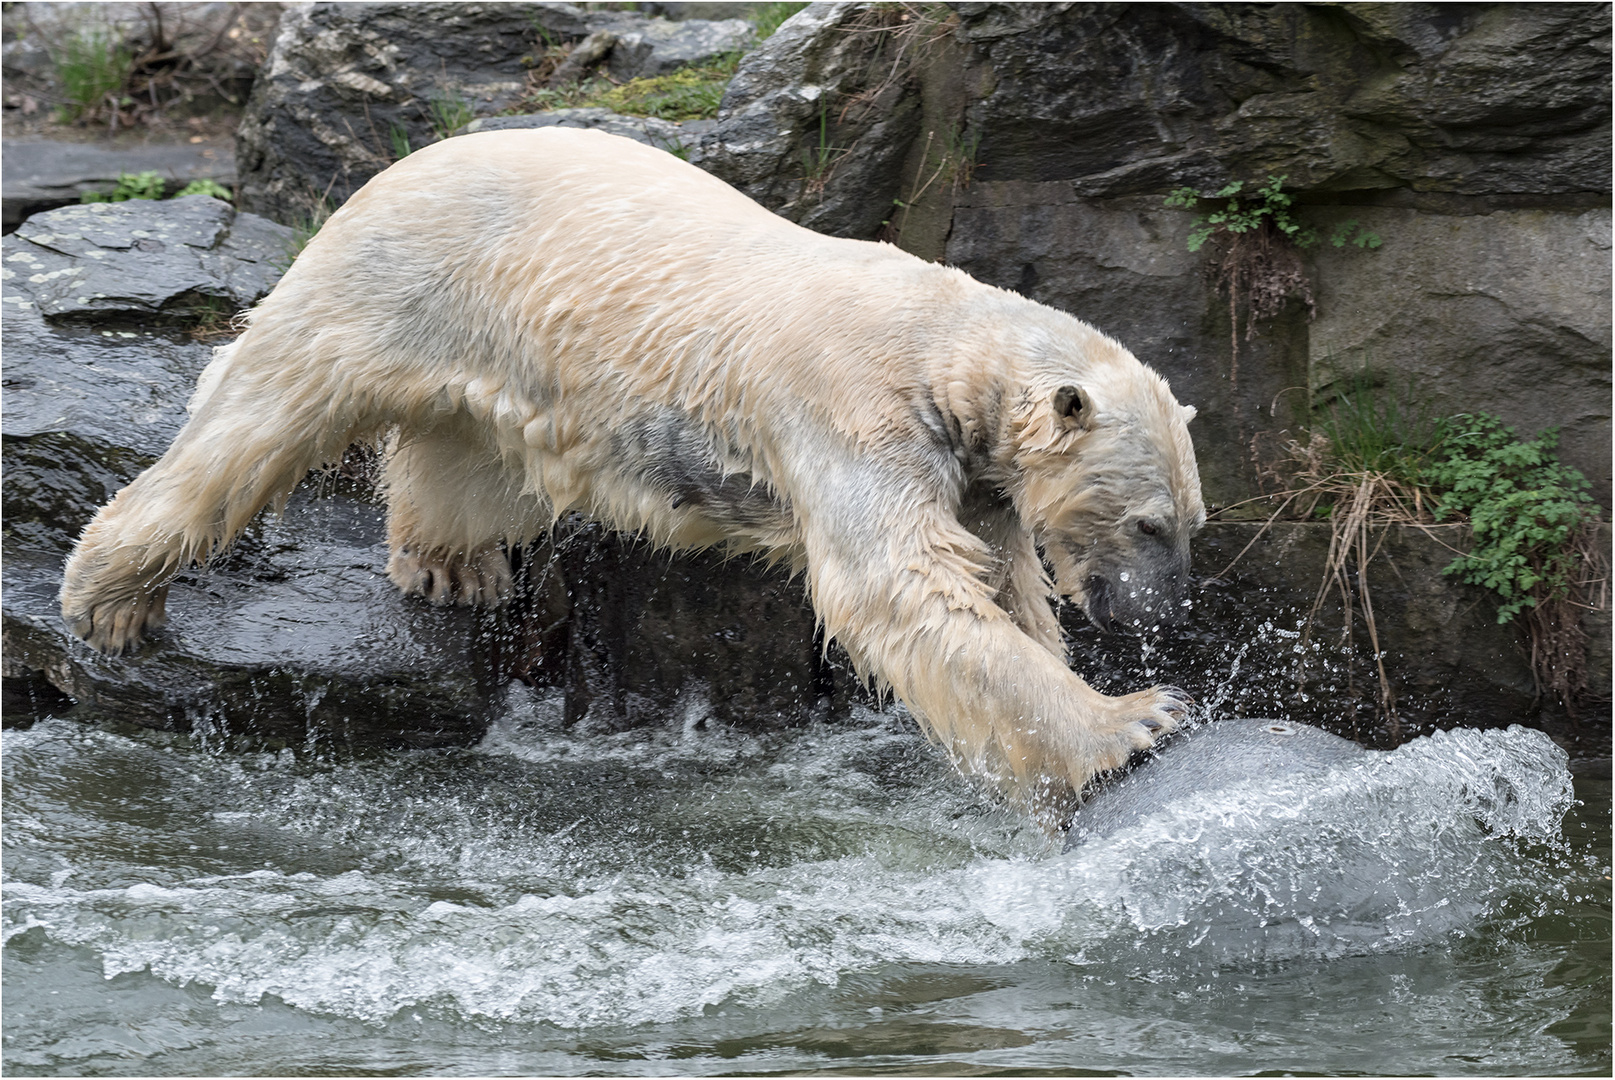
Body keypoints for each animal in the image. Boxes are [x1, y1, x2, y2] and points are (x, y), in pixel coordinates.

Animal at [59, 128, 1201, 807]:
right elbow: (898, 588)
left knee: (464, 452)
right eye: (1149, 523)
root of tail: (402, 162)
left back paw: (451, 565)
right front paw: (1133, 720)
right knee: (257, 419)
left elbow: (999, 587)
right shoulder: (855, 418)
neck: (941, 345)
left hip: (493, 348)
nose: (1161, 615)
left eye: (1190, 525)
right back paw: (108, 595)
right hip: (387, 280)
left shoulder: (974, 476)